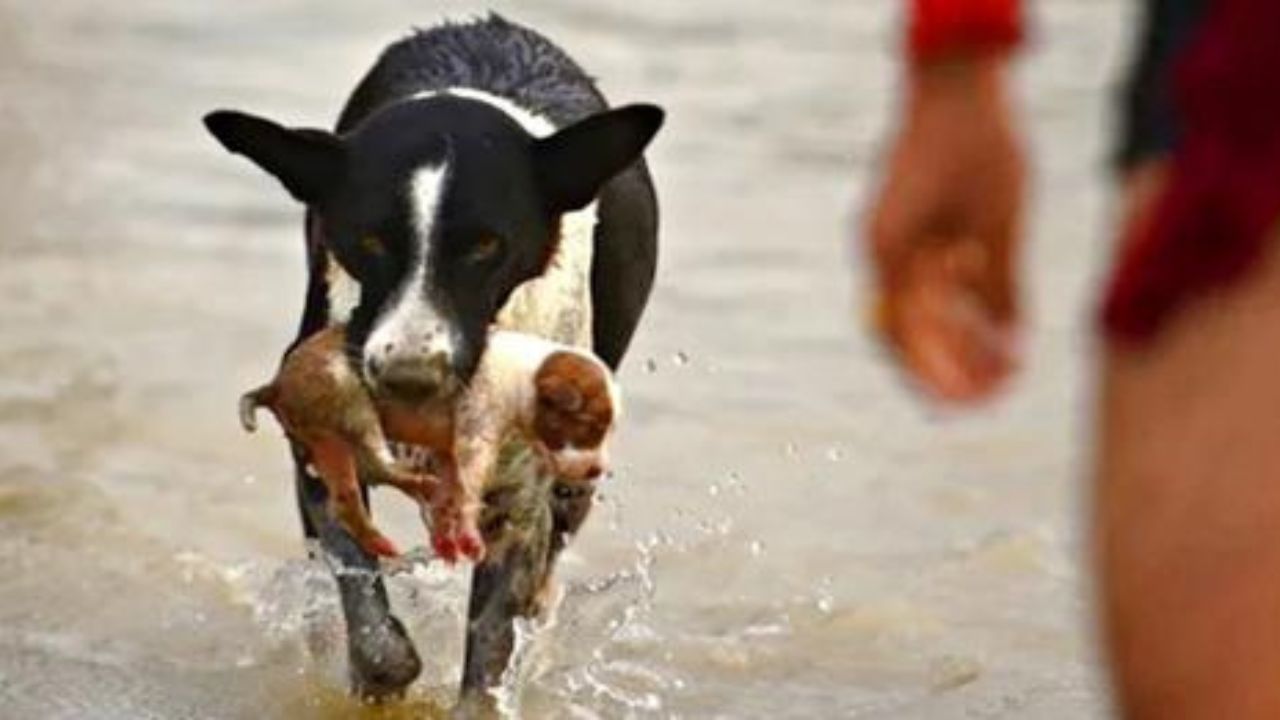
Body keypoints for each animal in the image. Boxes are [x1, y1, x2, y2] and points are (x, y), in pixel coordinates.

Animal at [202, 15, 660, 702]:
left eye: (486, 246)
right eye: (368, 241)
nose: (407, 379)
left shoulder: (519, 503)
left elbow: (490, 655)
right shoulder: (320, 453)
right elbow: (370, 619)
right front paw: (380, 677)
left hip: (576, 467)